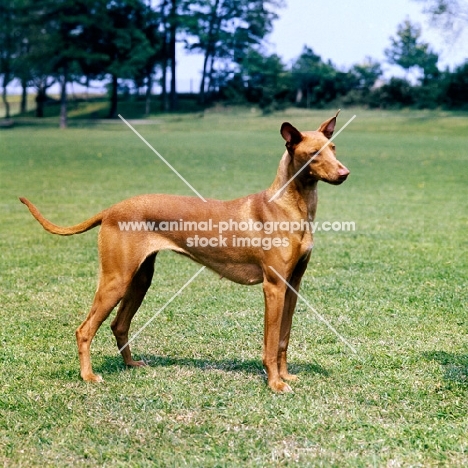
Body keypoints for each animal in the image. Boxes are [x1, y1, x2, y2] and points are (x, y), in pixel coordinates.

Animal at [21, 112, 348, 392]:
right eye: (314, 153)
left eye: (333, 148)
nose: (345, 173)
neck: (289, 206)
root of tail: (111, 209)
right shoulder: (274, 286)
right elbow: (269, 342)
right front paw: (275, 383)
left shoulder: (292, 284)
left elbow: (283, 338)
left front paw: (285, 375)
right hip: (116, 279)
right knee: (85, 329)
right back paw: (88, 376)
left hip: (139, 280)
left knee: (119, 324)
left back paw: (131, 364)